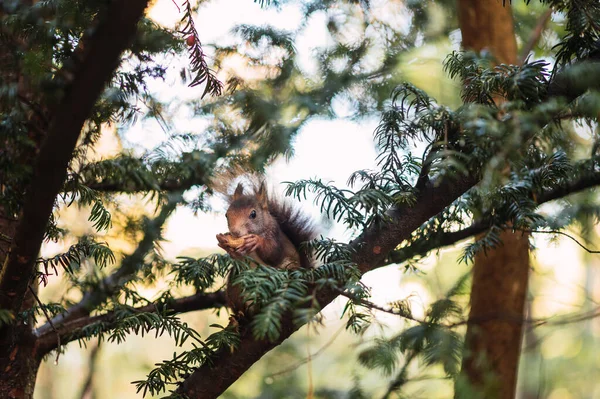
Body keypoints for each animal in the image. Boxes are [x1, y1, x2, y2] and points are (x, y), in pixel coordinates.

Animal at [217, 181, 318, 316]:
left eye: (253, 214)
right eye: (226, 215)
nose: (235, 232)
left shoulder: (275, 236)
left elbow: (273, 254)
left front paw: (256, 241)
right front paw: (225, 244)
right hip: (236, 284)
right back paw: (240, 315)